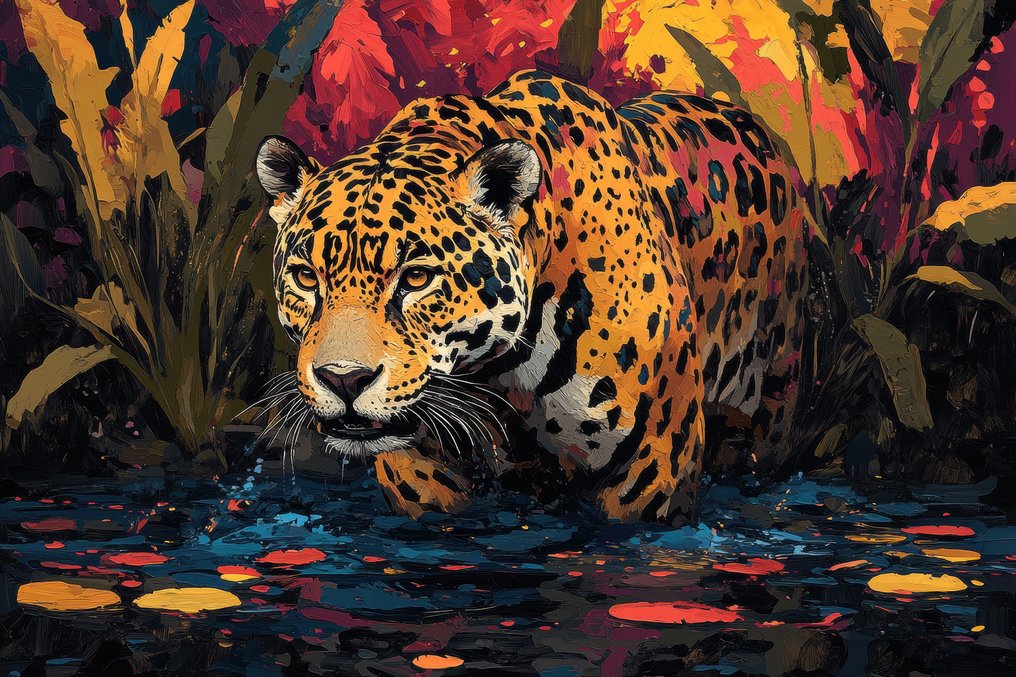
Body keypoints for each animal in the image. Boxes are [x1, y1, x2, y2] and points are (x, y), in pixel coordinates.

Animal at [255, 70, 810, 524]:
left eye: (415, 279)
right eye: (306, 278)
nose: (343, 380)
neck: (493, 371)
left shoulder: (649, 469)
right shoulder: (421, 471)